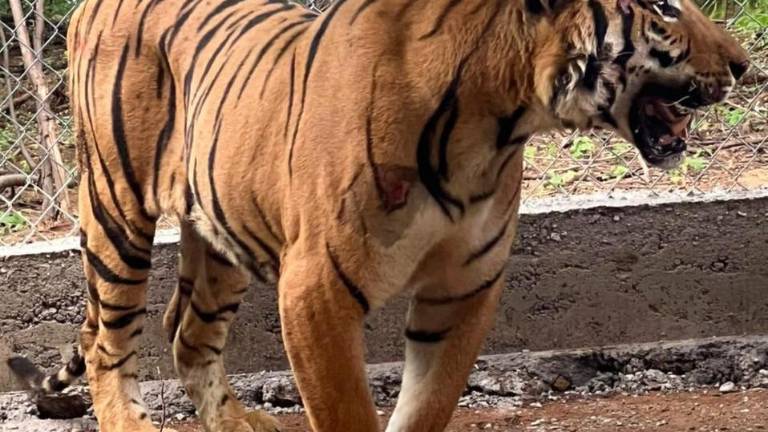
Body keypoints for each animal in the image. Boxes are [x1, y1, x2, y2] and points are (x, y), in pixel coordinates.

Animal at [6, 0, 749, 430]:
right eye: (665, 7)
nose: (744, 65)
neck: (496, 122)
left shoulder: (464, 287)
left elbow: (427, 405)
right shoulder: (315, 290)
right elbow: (347, 411)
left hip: (221, 230)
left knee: (187, 333)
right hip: (116, 207)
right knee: (109, 344)